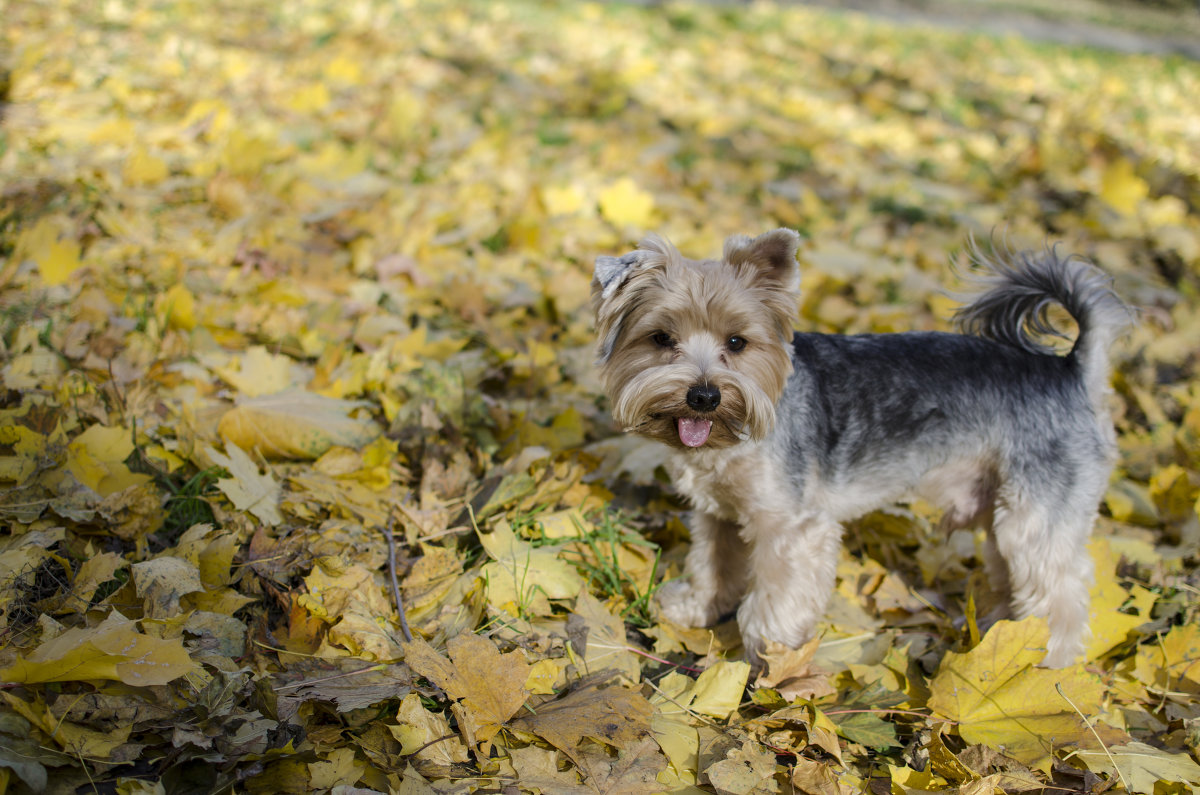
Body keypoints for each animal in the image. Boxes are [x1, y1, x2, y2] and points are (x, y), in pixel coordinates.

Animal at [592, 229, 1132, 667]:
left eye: (738, 342)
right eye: (661, 338)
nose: (704, 396)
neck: (733, 434)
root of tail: (1071, 371)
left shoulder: (792, 527)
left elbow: (775, 598)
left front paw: (771, 656)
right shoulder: (716, 511)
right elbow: (714, 562)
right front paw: (697, 606)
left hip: (1035, 513)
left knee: (1059, 595)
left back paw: (1042, 665)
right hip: (1000, 507)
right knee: (1014, 580)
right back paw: (1000, 640)